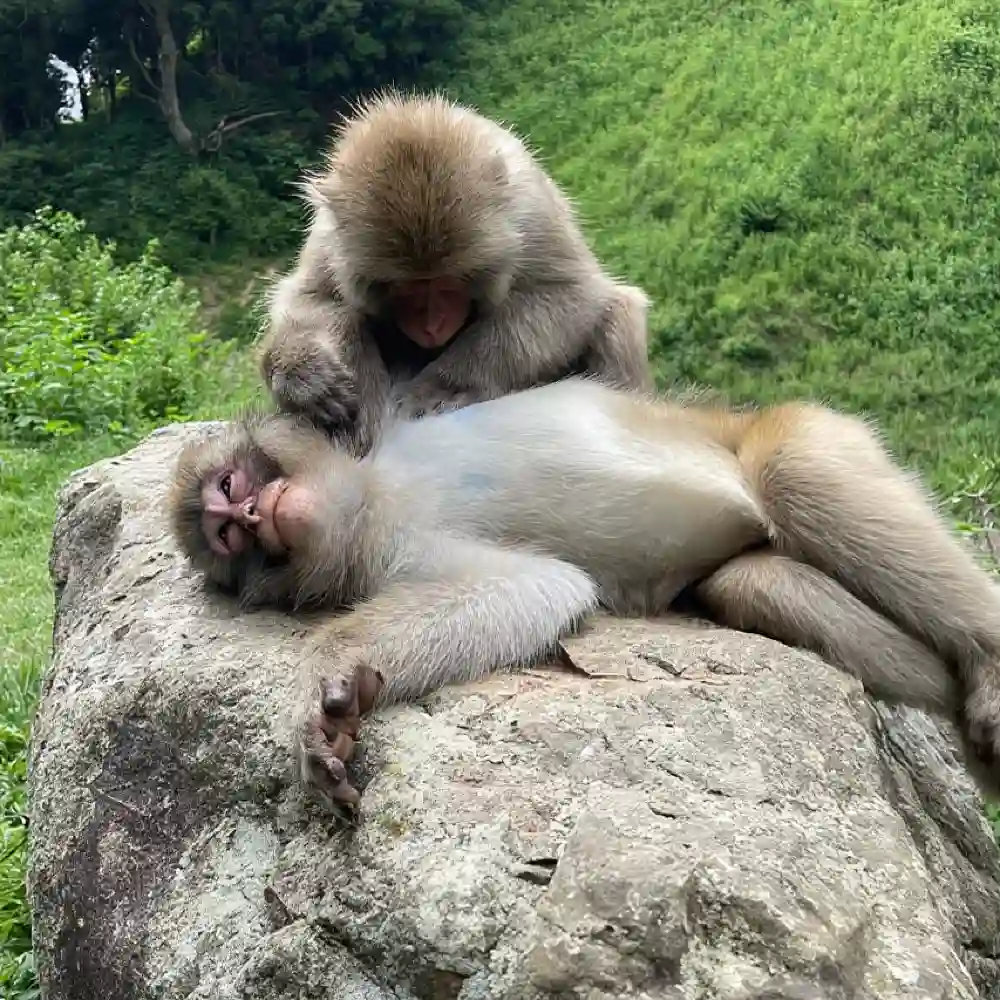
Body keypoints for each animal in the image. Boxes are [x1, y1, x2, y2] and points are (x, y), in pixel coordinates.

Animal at [168, 377, 1000, 809]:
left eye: (232, 488)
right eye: (229, 539)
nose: (253, 518)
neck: (370, 496)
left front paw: (324, 679)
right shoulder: (389, 548)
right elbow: (535, 586)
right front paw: (335, 700)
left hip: (808, 429)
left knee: (795, 472)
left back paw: (987, 663)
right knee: (749, 582)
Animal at [257, 90, 653, 454]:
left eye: (448, 282)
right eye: (404, 287)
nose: (432, 325)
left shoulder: (531, 214)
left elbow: (570, 296)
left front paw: (448, 384)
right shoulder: (329, 237)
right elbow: (311, 299)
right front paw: (308, 376)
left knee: (617, 312)